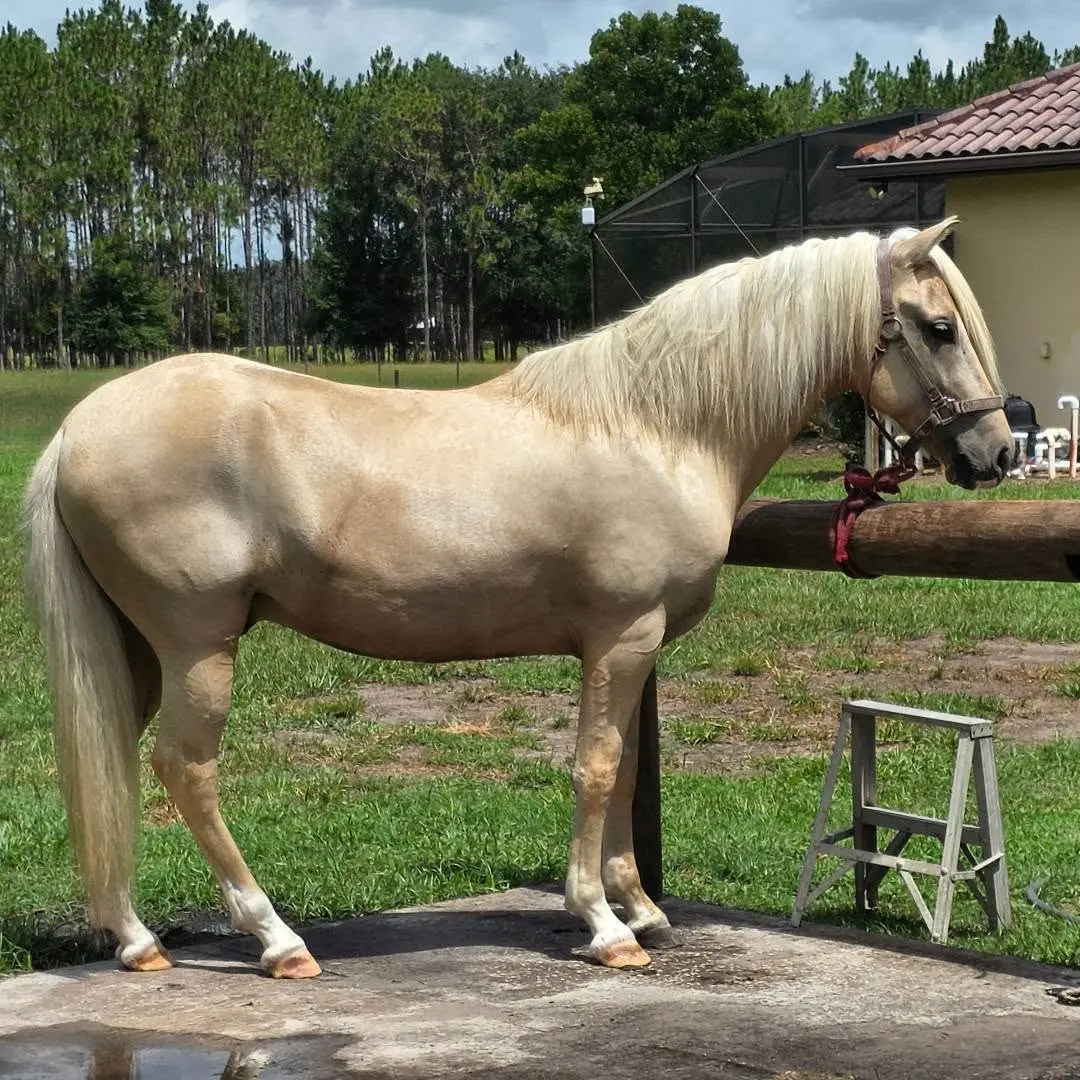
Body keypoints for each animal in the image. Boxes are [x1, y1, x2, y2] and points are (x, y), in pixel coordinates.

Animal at [21, 217, 1012, 980]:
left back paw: (136, 938)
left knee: (114, 760)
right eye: (937, 327)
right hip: (199, 646)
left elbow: (625, 770)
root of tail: (80, 426)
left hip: (138, 651)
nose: (997, 451)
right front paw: (605, 926)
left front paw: (638, 904)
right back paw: (275, 939)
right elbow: (599, 768)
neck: (655, 426)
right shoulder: (623, 636)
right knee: (185, 769)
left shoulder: (627, 648)